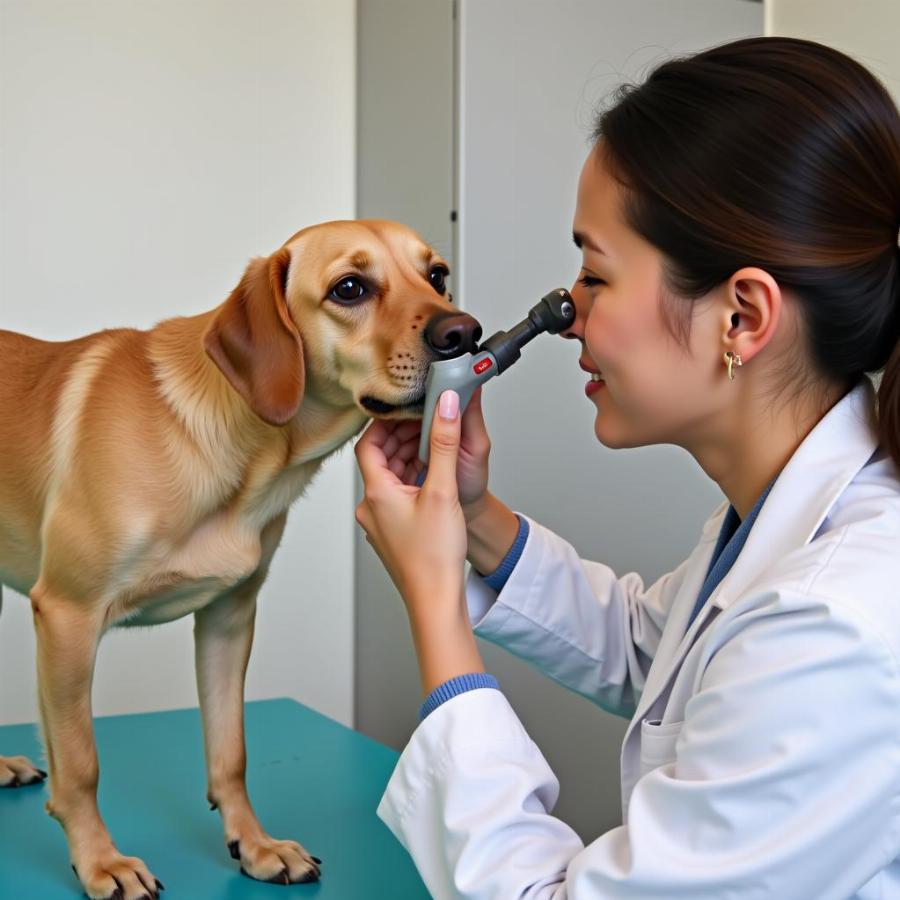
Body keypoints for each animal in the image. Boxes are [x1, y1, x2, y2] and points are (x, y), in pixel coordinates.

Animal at [0, 220, 478, 900]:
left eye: (436, 275)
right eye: (350, 288)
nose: (466, 332)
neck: (245, 447)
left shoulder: (228, 618)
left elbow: (231, 753)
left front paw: (254, 845)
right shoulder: (68, 615)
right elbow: (81, 763)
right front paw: (99, 862)